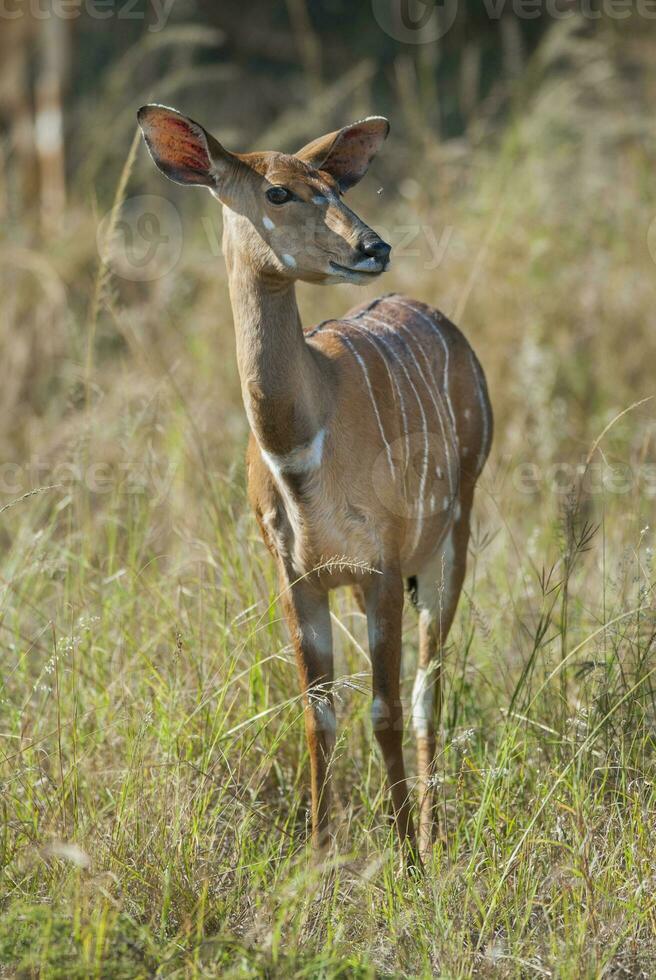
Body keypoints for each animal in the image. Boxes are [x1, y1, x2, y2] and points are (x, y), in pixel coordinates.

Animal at [137, 103, 492, 860]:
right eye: (278, 192)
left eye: (335, 184)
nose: (373, 247)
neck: (303, 451)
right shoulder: (296, 572)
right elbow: (317, 712)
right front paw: (320, 854)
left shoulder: (382, 561)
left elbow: (384, 709)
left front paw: (407, 858)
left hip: (452, 538)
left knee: (427, 689)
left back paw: (433, 833)